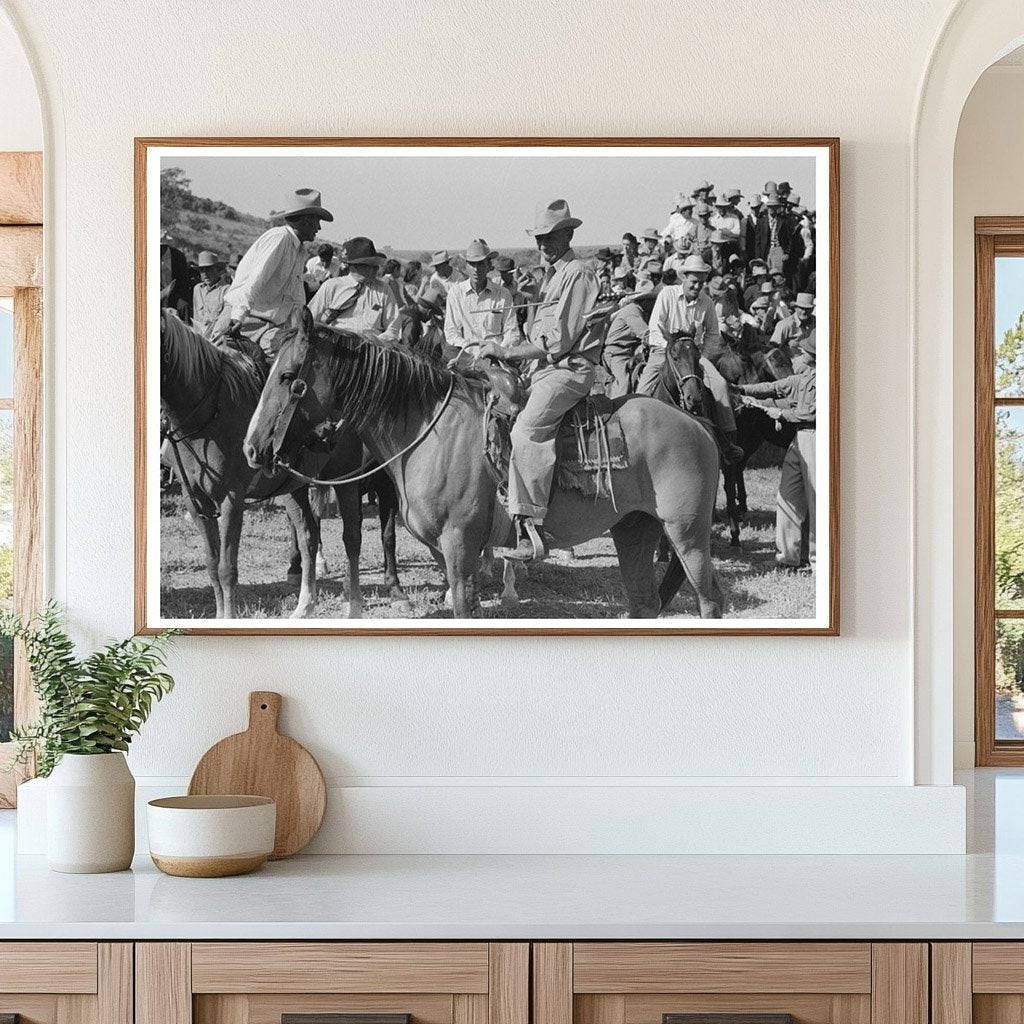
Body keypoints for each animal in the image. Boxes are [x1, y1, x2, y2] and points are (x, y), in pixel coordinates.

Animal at [157, 309, 405, 614]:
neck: (207, 417)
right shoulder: (196, 502)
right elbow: (213, 567)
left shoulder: (231, 499)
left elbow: (227, 570)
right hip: (294, 488)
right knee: (309, 537)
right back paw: (305, 605)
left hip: (347, 479)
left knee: (354, 538)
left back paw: (359, 599)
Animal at [240, 311, 724, 614]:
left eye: (288, 377)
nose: (252, 448)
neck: (429, 429)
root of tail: (697, 424)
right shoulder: (454, 551)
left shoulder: (459, 543)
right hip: (635, 528)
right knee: (645, 602)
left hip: (688, 535)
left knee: (710, 600)